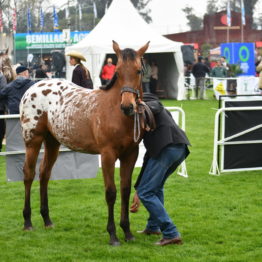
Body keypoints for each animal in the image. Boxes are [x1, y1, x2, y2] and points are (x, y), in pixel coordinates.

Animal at [19, 41, 148, 246]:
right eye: (118, 71)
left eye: (138, 71)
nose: (127, 106)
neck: (115, 112)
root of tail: (34, 87)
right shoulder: (108, 155)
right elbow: (111, 192)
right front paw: (113, 235)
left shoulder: (131, 154)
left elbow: (125, 190)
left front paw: (127, 232)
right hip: (33, 141)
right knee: (29, 175)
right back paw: (28, 221)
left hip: (52, 142)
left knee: (44, 174)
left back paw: (47, 219)